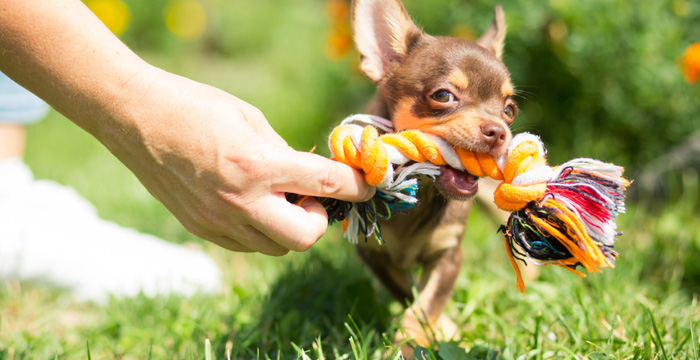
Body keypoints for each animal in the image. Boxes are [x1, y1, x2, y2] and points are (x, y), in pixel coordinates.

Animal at [348, 0, 516, 354]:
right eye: (443, 96)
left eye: (510, 110)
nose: (500, 132)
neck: (421, 190)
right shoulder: (375, 256)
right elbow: (409, 295)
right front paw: (428, 333)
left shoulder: (449, 257)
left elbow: (425, 306)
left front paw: (413, 341)